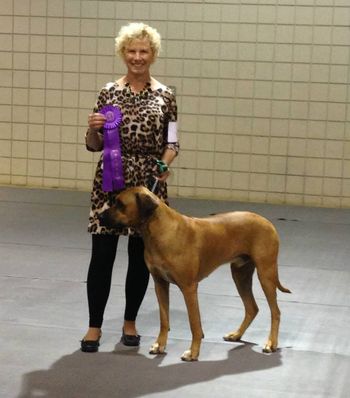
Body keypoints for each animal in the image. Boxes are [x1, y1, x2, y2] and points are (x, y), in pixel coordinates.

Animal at [102, 187, 290, 360]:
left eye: (120, 204)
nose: (101, 216)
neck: (160, 231)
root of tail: (268, 222)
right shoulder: (160, 284)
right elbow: (164, 319)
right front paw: (160, 345)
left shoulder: (189, 288)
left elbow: (194, 323)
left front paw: (193, 352)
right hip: (240, 275)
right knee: (252, 308)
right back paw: (236, 334)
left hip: (266, 273)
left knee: (275, 312)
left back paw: (271, 343)